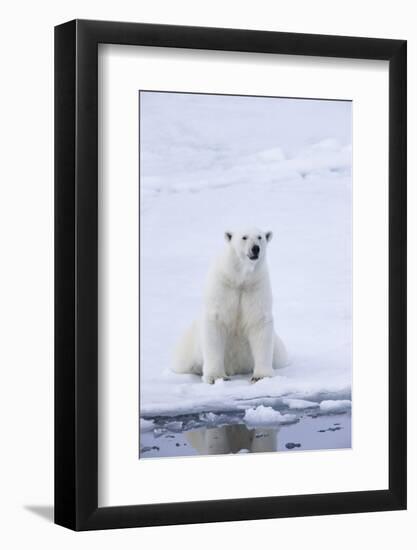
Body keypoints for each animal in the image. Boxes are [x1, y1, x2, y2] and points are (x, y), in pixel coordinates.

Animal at [171, 227, 286, 384]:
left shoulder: (255, 287)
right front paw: (216, 377)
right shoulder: (222, 286)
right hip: (188, 347)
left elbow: (259, 322)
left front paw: (261, 376)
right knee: (182, 362)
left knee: (281, 356)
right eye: (244, 237)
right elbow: (216, 323)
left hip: (277, 349)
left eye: (260, 237)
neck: (239, 278)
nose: (255, 248)